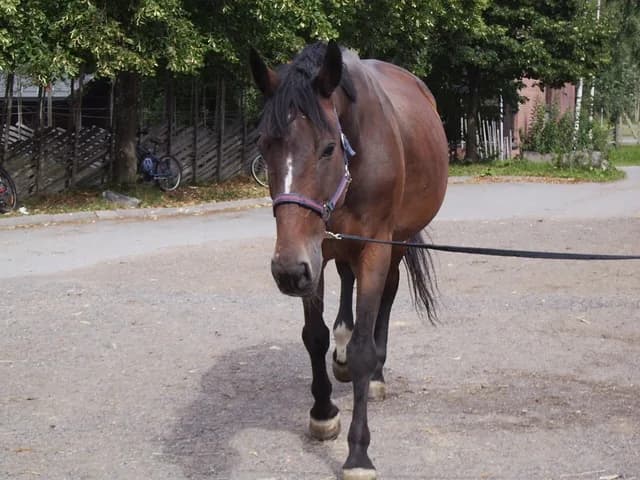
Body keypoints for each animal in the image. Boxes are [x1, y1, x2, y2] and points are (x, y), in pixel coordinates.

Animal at [249, 40, 449, 480]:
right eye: (264, 147)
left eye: (328, 148)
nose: (286, 271)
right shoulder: (315, 250)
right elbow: (314, 335)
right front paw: (323, 412)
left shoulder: (375, 246)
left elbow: (363, 347)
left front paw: (358, 453)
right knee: (345, 280)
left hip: (396, 243)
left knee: (387, 298)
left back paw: (375, 377)